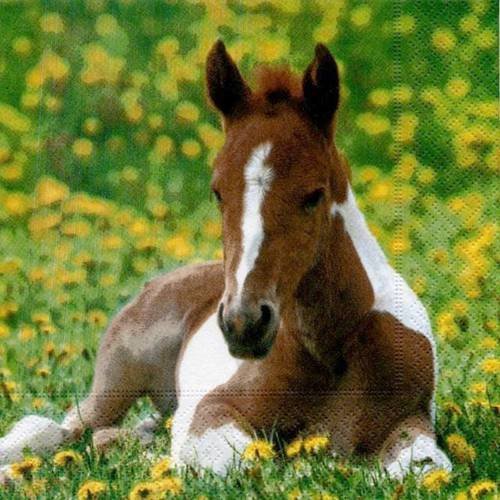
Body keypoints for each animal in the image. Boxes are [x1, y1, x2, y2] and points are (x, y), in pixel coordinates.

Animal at [0, 42, 452, 480]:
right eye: (217, 191)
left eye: (314, 195)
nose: (244, 324)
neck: (330, 352)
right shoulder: (213, 410)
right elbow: (244, 462)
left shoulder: (411, 423)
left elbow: (423, 469)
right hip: (117, 379)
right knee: (60, 427)